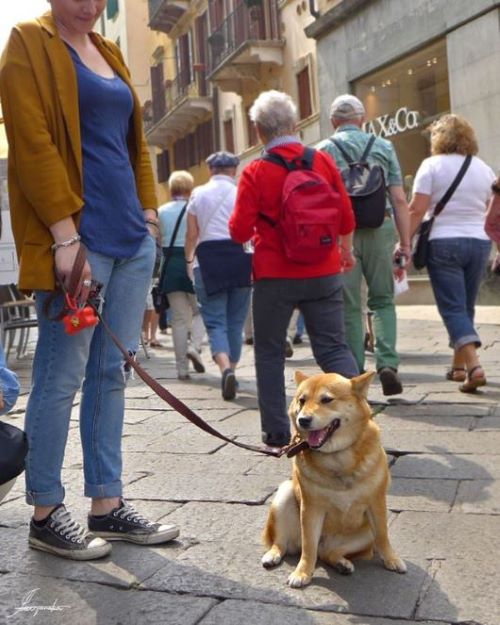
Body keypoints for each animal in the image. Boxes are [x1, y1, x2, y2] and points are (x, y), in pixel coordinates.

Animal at [262, 372, 406, 588]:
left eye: (327, 399)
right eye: (302, 400)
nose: (303, 420)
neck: (337, 456)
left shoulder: (377, 503)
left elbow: (383, 535)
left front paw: (391, 559)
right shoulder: (311, 509)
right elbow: (308, 547)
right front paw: (303, 572)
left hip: (364, 535)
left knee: (330, 553)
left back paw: (341, 563)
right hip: (285, 496)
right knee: (283, 543)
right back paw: (273, 555)